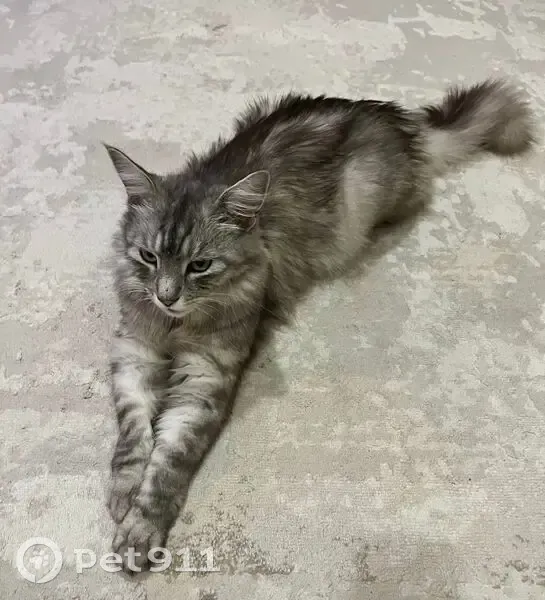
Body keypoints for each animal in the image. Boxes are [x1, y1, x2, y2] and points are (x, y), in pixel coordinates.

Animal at [104, 79, 534, 572]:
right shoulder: (134, 351)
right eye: (148, 257)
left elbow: (169, 460)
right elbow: (133, 433)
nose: (166, 295)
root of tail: (404, 123)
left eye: (200, 265)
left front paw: (142, 528)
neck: (175, 326)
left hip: (365, 198)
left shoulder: (206, 375)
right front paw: (123, 492)